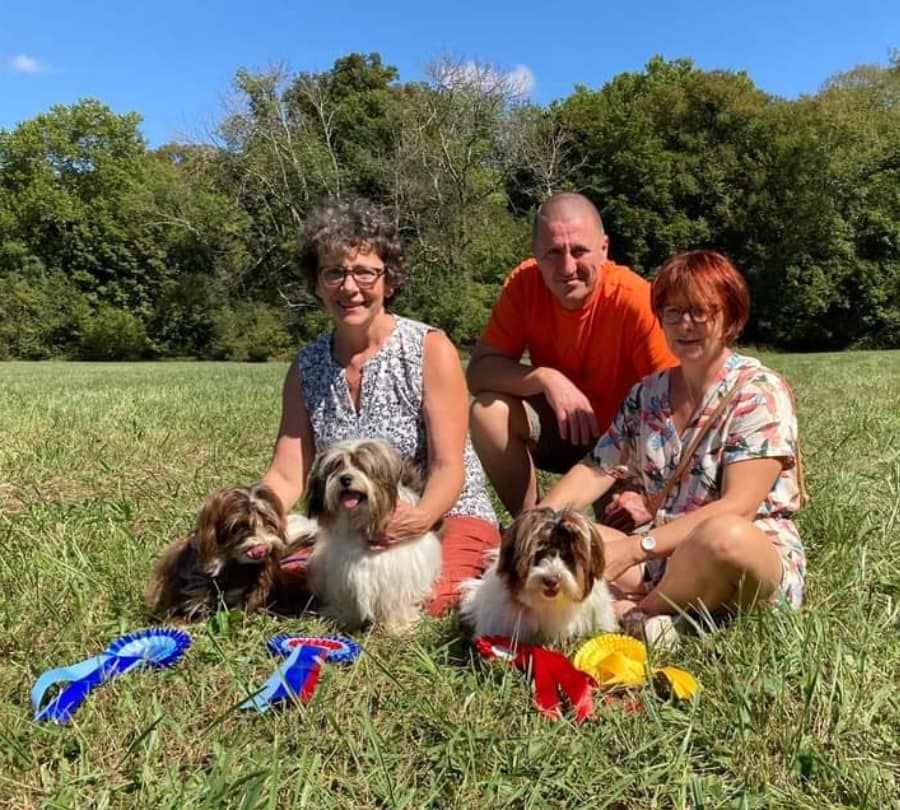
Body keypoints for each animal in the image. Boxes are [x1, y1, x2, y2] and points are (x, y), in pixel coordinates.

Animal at [304, 438, 442, 636]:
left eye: (362, 466)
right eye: (337, 465)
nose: (345, 479)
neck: (362, 520)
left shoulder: (395, 577)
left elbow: (395, 602)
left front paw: (397, 626)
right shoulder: (344, 575)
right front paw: (344, 619)